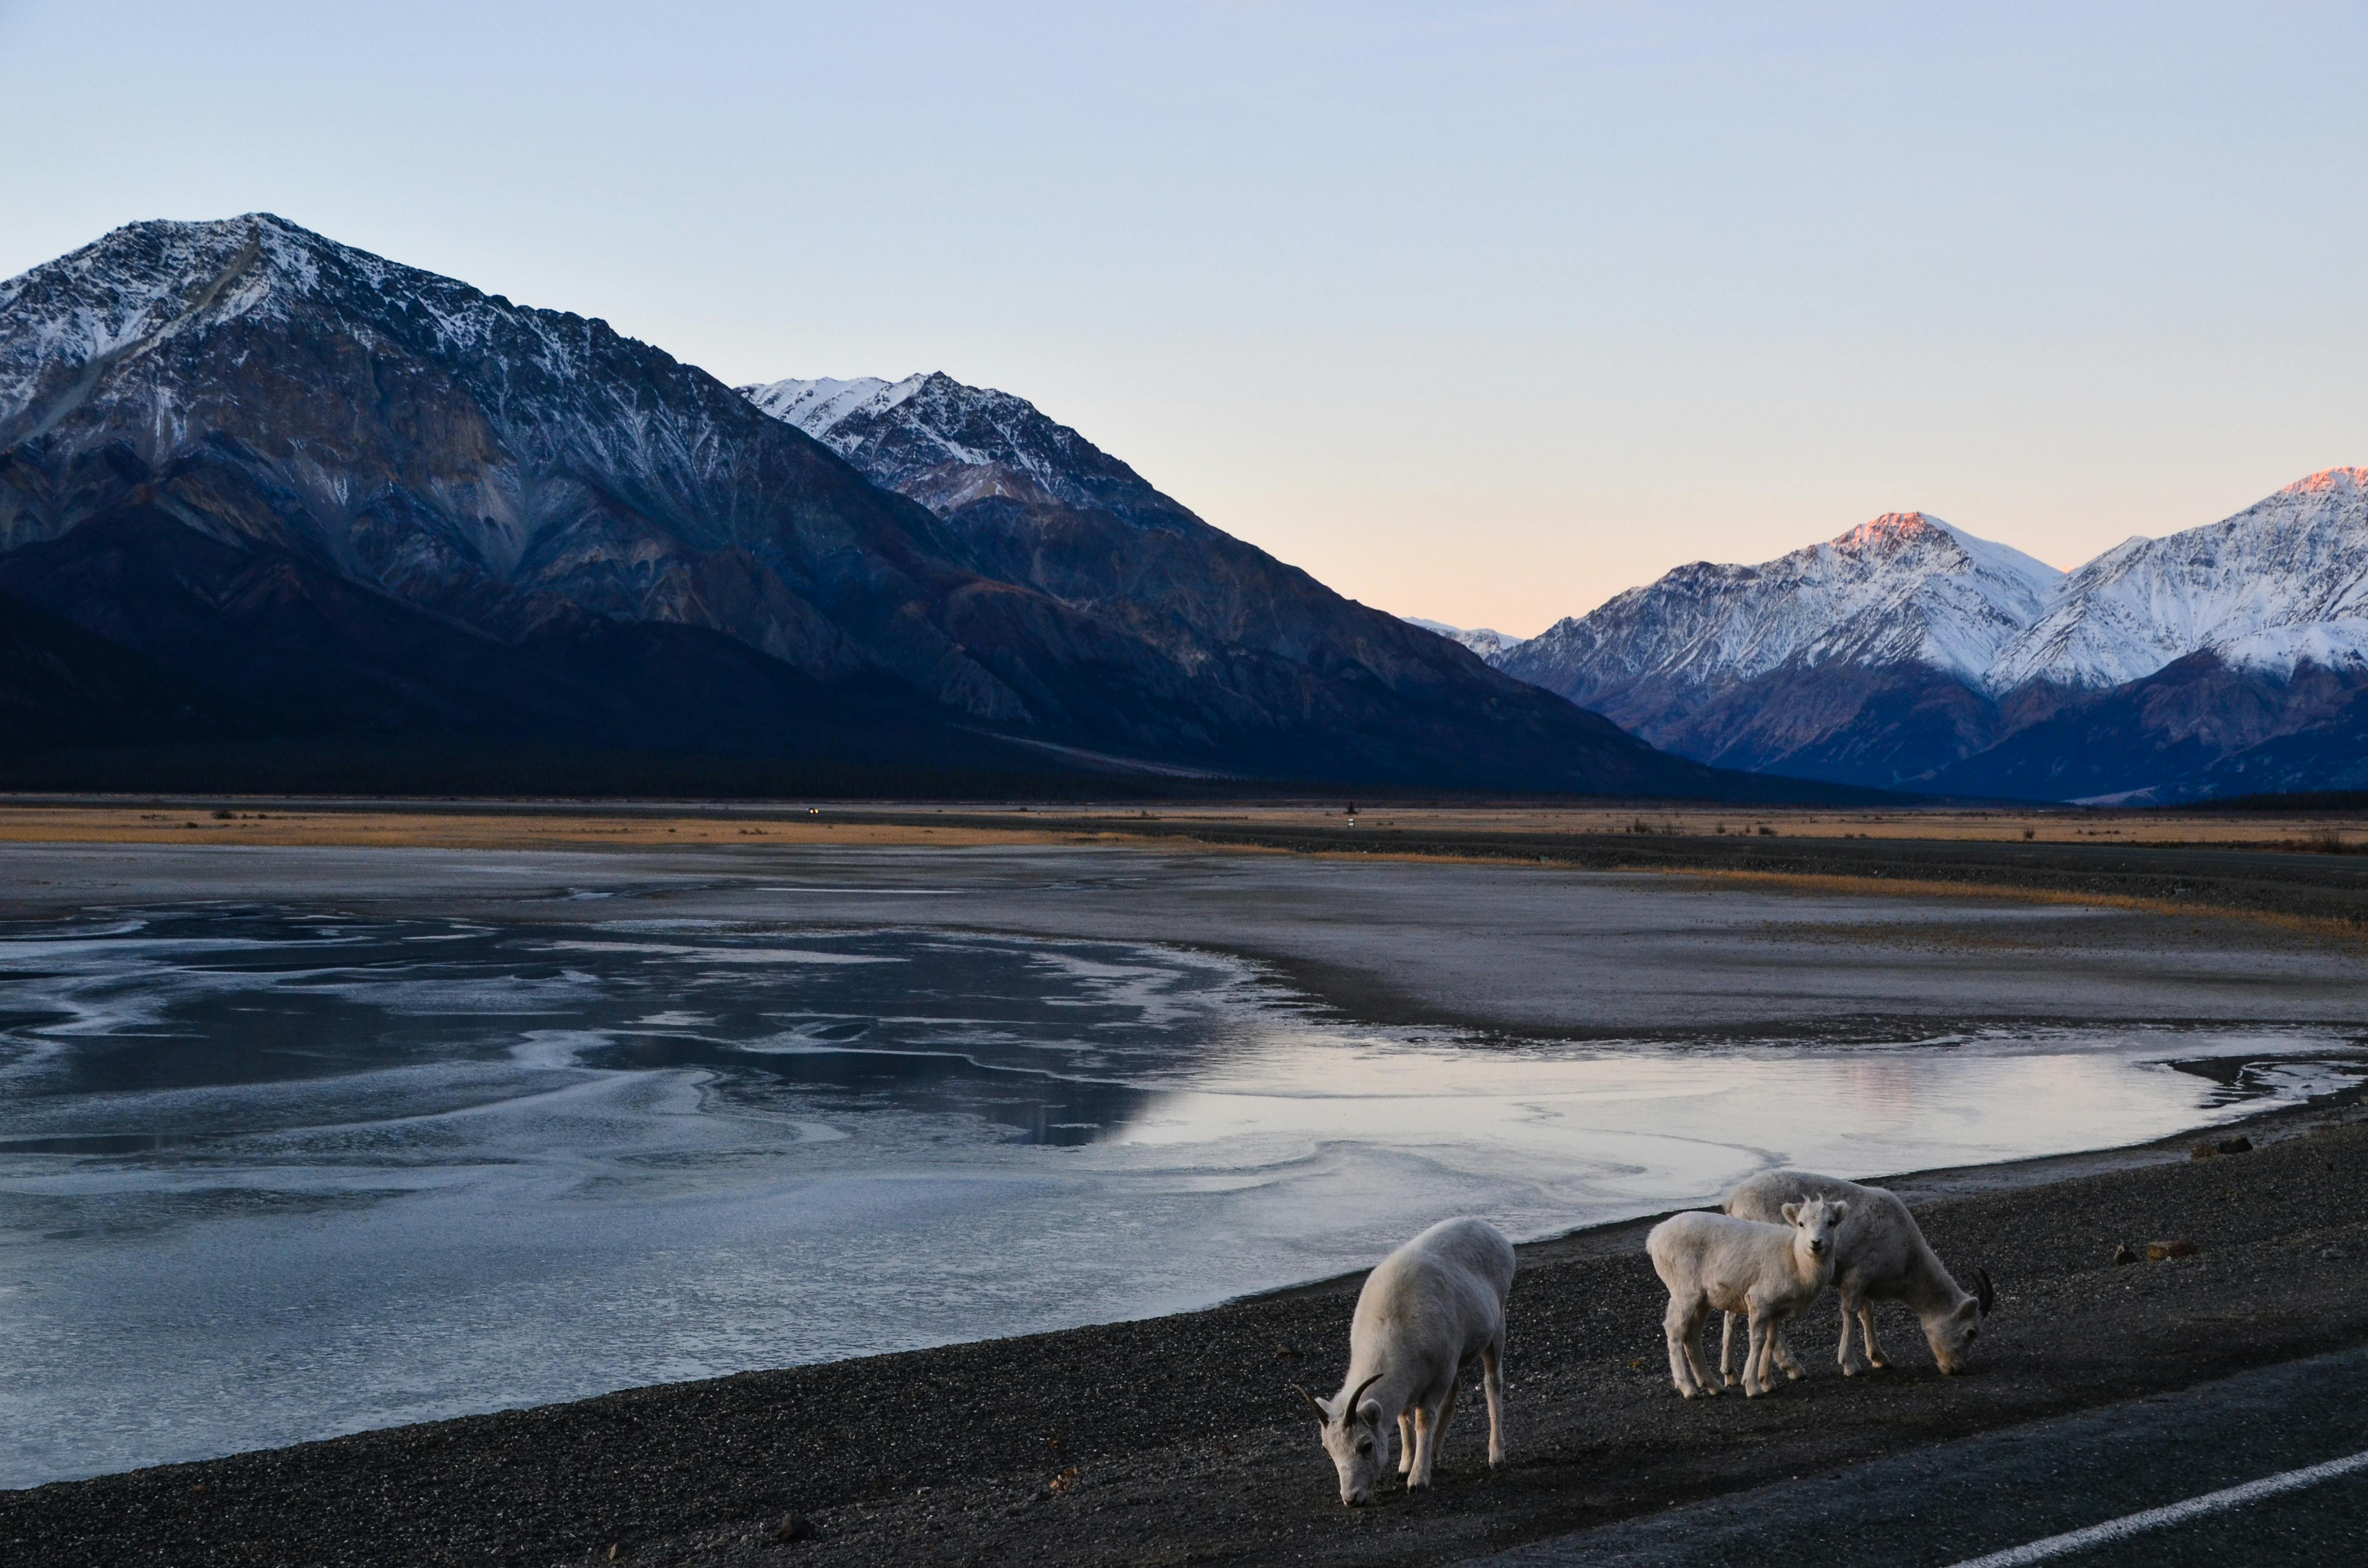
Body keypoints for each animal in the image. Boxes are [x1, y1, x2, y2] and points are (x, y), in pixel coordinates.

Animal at [1294, 1216, 1514, 1505]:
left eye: (1366, 1445)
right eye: (1328, 1449)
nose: (1351, 1499)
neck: (1391, 1326)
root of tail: (1495, 1234)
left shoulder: (1439, 1378)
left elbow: (1423, 1419)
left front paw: (1417, 1481)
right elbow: (1404, 1419)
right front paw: (1405, 1468)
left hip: (1496, 1331)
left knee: (1492, 1383)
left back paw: (1496, 1457)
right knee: (1457, 1389)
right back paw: (1435, 1456)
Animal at [1647, 1198, 1845, 1398]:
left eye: (1830, 1223)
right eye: (1801, 1224)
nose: (1816, 1243)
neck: (1797, 1260)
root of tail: (1654, 1237)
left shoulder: (1775, 1312)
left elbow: (1771, 1341)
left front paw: (1768, 1382)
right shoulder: (1758, 1301)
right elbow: (1757, 1341)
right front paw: (1753, 1386)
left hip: (1702, 1300)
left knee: (1692, 1335)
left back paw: (1713, 1386)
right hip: (1684, 1292)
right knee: (1675, 1330)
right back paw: (1688, 1388)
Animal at [1720, 1169, 1994, 1381]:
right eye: (1971, 1332)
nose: (1956, 1369)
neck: (1906, 1255)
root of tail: (1733, 1201)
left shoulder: (1865, 1281)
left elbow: (1866, 1312)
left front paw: (1880, 1358)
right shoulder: (1857, 1274)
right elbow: (1851, 1312)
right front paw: (1851, 1365)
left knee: (1732, 1313)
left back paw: (1731, 1374)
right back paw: (1793, 1369)